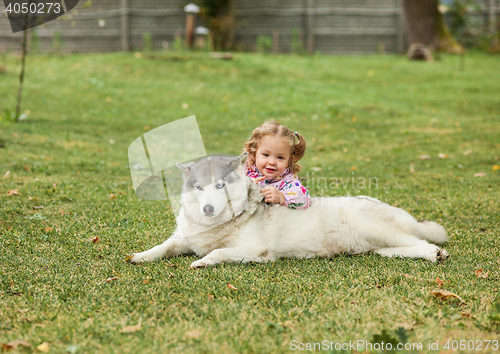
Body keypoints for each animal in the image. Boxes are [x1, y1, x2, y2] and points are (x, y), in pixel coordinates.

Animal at [128, 153, 450, 266]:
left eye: (220, 186)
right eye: (198, 187)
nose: (208, 208)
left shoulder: (257, 252)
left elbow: (217, 252)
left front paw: (202, 262)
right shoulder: (183, 240)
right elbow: (164, 247)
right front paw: (140, 256)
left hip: (378, 229)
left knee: (423, 242)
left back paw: (436, 254)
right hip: (380, 247)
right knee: (406, 247)